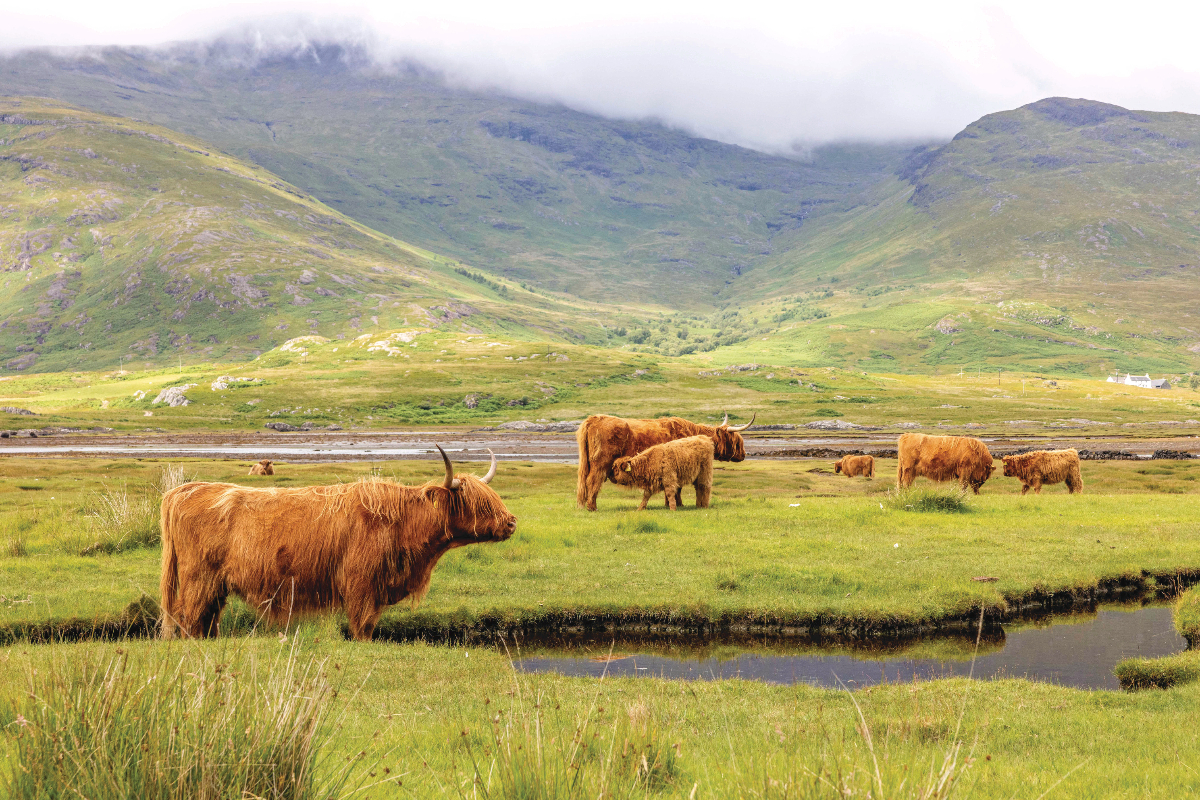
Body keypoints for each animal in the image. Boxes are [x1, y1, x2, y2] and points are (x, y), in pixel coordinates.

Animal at [159, 446, 516, 641]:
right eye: (480, 504)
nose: (511, 522)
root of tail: (185, 489)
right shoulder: (361, 584)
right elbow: (363, 627)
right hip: (197, 578)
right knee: (188, 616)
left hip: (216, 585)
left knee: (207, 619)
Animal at [576, 412, 755, 510]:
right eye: (737, 442)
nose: (744, 454)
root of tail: (593, 419)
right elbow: (678, 488)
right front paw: (678, 504)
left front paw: (668, 503)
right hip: (600, 463)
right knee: (593, 480)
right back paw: (592, 507)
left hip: (587, 463)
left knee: (583, 481)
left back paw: (582, 505)